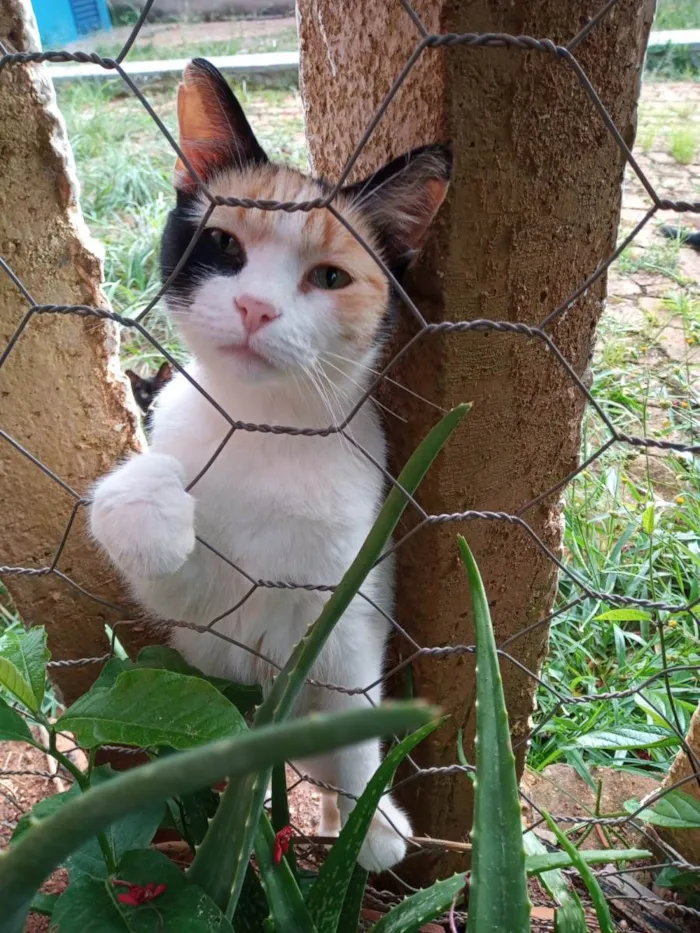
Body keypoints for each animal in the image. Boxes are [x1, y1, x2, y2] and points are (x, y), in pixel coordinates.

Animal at [90, 58, 452, 872]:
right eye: (225, 245)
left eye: (330, 278)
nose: (255, 307)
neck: (267, 427)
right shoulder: (198, 610)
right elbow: (156, 548)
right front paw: (149, 507)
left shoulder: (348, 600)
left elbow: (353, 715)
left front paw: (369, 825)